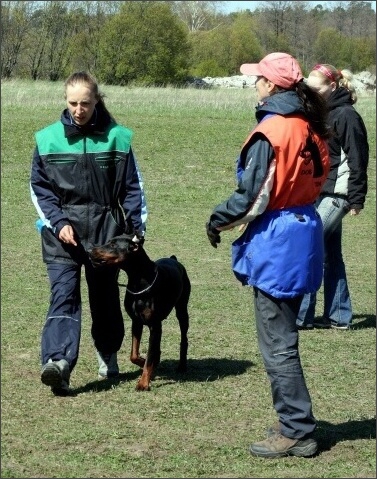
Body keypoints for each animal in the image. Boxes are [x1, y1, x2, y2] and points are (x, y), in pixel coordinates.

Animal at [88, 234, 189, 392]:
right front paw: (144, 363)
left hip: (182, 310)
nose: (90, 250)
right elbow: (134, 355)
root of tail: (173, 259)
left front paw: (143, 383)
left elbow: (150, 356)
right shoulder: (136, 322)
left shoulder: (154, 326)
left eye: (113, 245)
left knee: (184, 338)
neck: (139, 283)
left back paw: (182, 365)